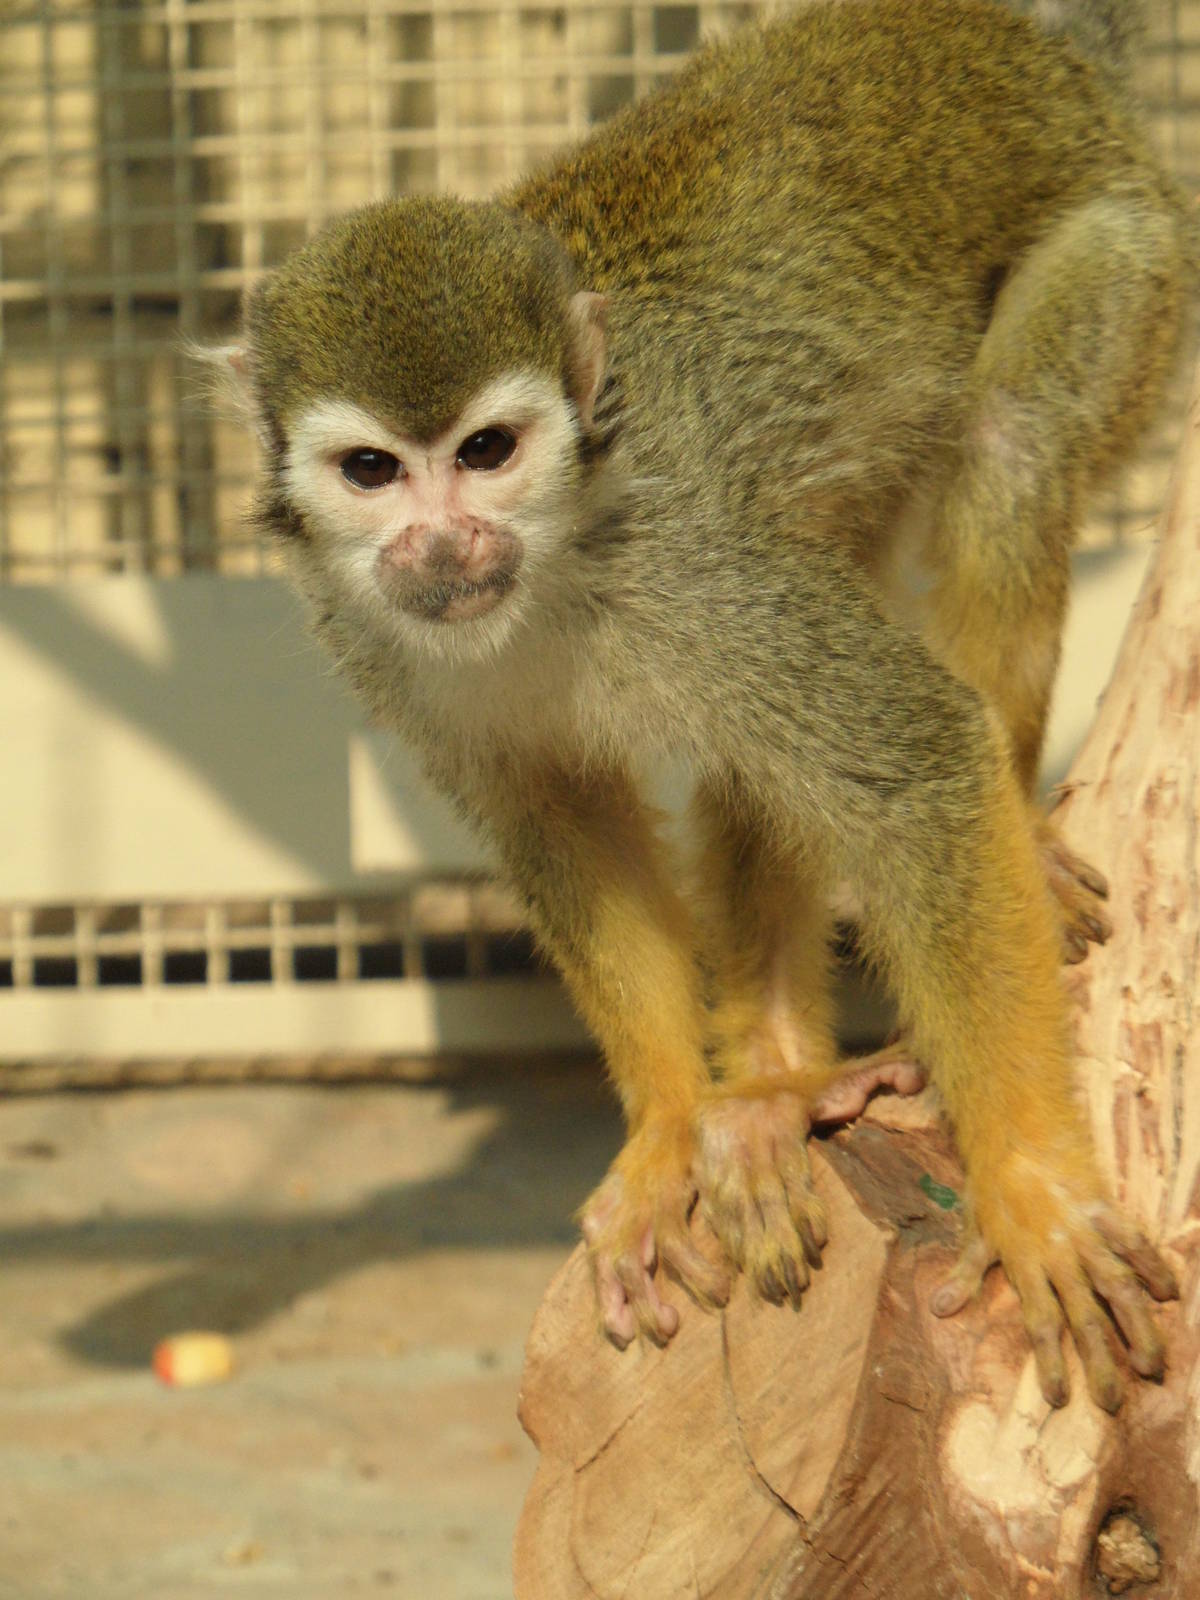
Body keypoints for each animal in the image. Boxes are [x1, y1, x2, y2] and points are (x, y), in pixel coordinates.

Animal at [221, 0, 1193, 1410]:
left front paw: (1032, 1189)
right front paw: (673, 1123)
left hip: (1124, 240)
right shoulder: (377, 640)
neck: (558, 558)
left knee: (1008, 442)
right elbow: (557, 824)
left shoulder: (696, 555)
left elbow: (913, 759)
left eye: (486, 454)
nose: (446, 544)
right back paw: (774, 1081)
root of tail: (990, 33)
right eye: (371, 471)